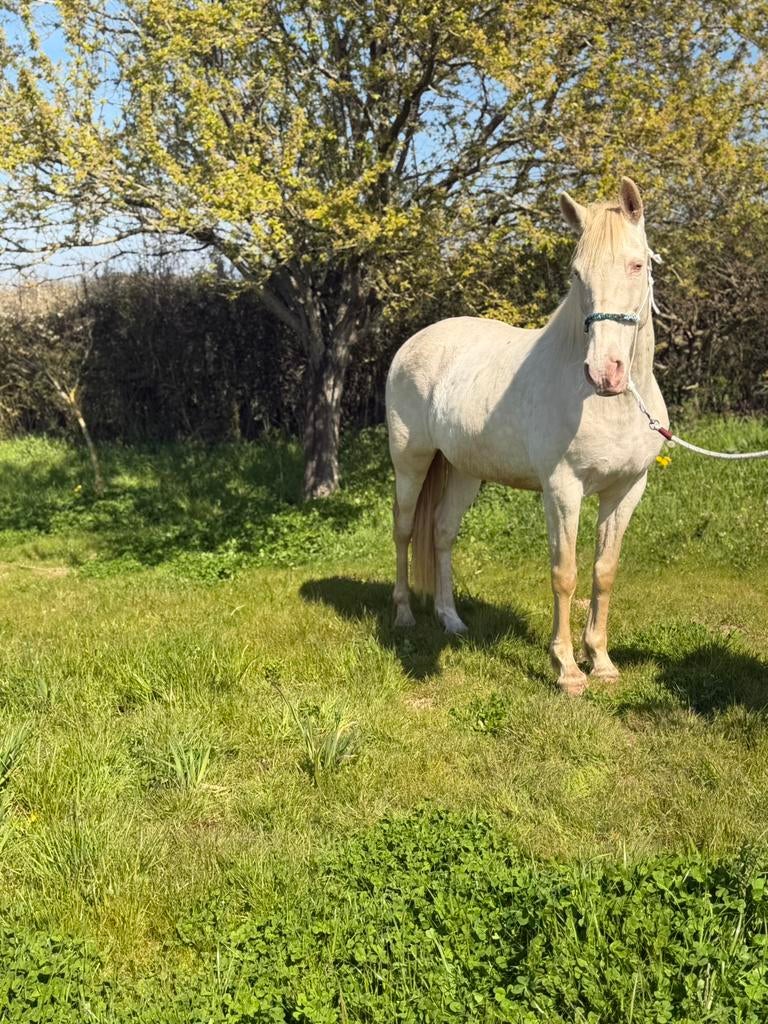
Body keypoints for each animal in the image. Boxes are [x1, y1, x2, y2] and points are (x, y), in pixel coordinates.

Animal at [385, 177, 668, 695]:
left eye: (637, 264)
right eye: (577, 274)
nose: (606, 372)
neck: (609, 405)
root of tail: (416, 342)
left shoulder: (626, 490)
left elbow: (604, 572)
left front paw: (601, 662)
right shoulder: (562, 490)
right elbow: (565, 574)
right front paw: (567, 670)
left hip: (463, 471)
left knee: (441, 533)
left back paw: (451, 619)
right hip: (411, 462)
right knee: (404, 530)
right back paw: (404, 616)